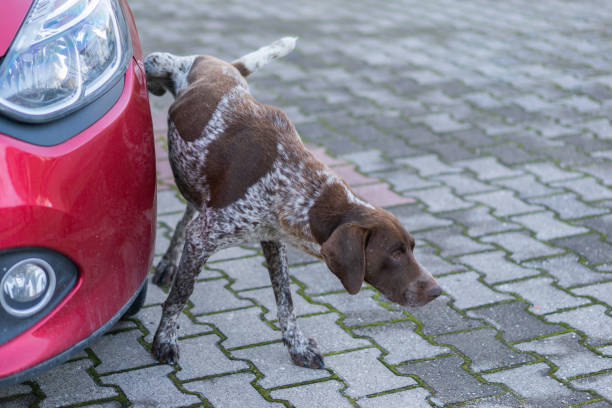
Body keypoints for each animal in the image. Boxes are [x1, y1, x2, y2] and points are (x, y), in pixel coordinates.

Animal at [143, 39, 440, 370]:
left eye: (411, 248)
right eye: (395, 252)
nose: (436, 291)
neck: (306, 192)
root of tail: (217, 64)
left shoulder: (273, 239)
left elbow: (285, 299)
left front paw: (296, 346)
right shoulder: (205, 237)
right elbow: (180, 295)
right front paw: (165, 339)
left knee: (185, 218)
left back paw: (169, 263)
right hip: (154, 62)